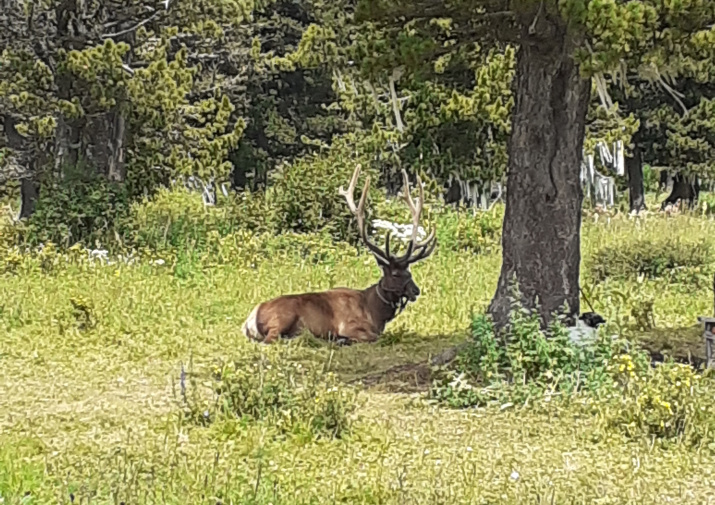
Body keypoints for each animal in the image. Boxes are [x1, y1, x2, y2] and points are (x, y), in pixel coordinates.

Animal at [242, 165, 436, 346]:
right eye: (395, 274)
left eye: (409, 272)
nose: (416, 290)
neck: (374, 312)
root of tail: (249, 321)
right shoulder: (350, 325)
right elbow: (374, 337)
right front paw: (343, 339)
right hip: (282, 318)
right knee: (271, 339)